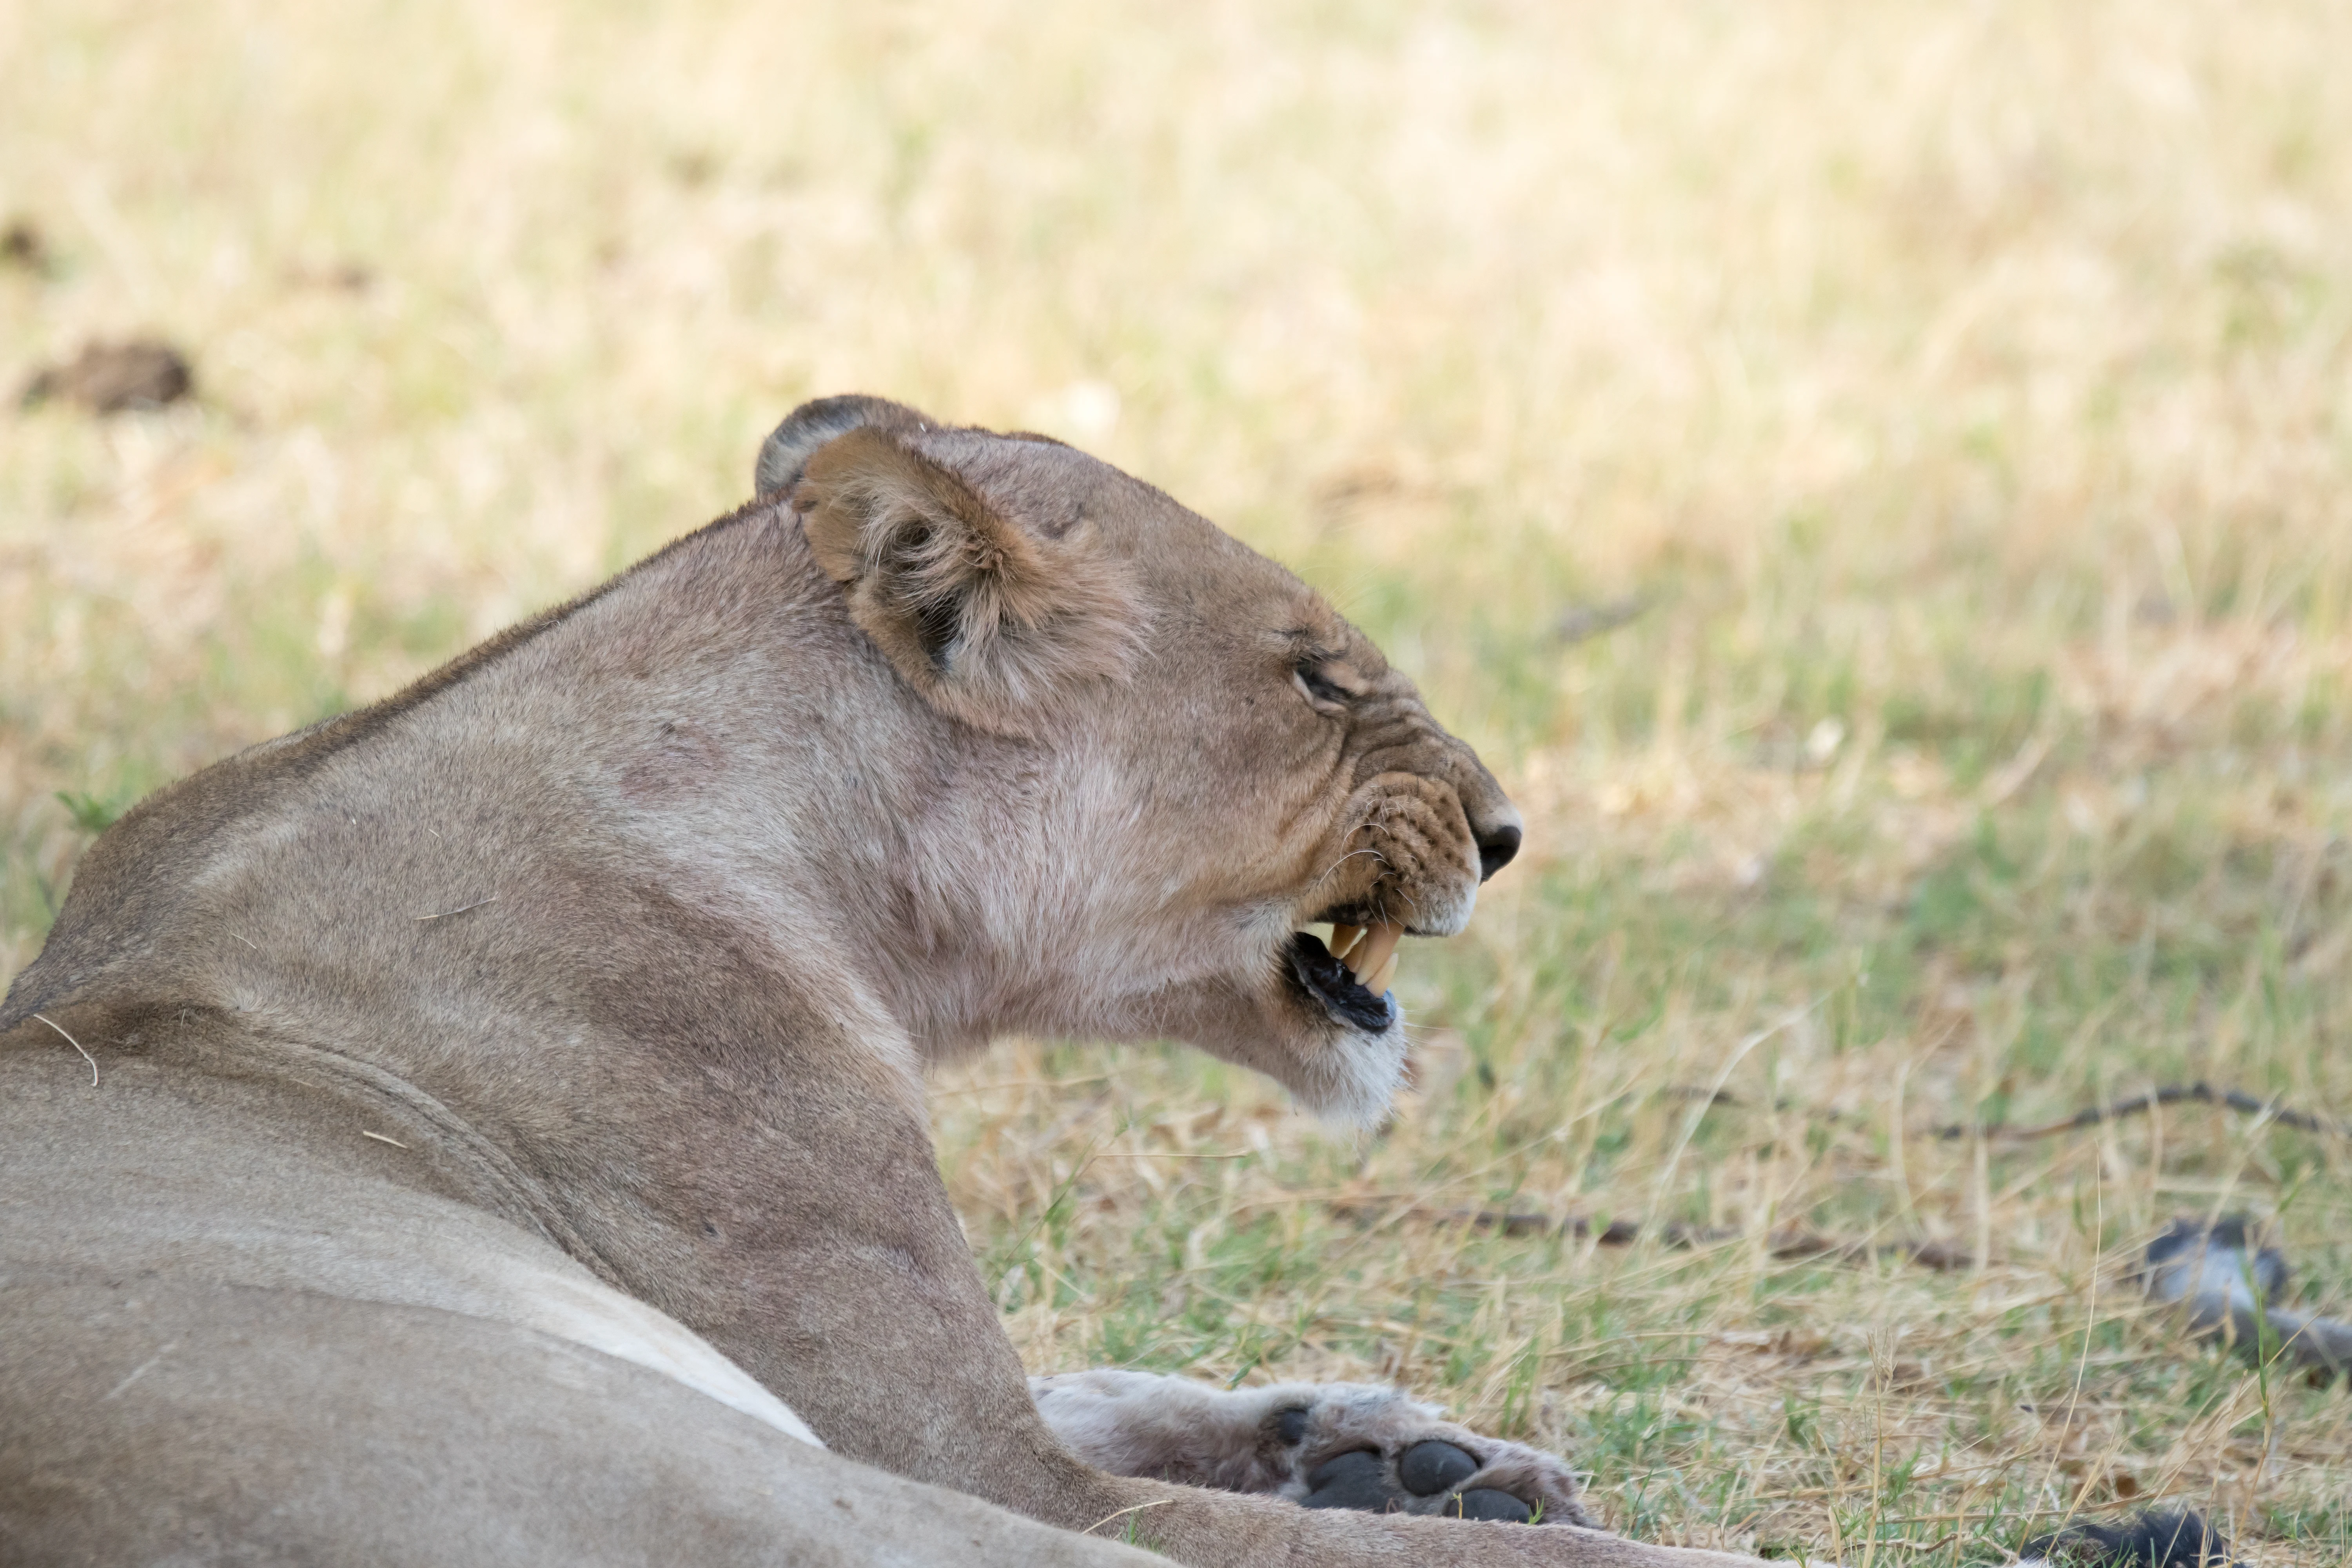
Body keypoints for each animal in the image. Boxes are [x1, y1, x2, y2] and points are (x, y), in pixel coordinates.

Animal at [1, 396, 1787, 1567]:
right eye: (1319, 678)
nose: (1504, 831)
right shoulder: (966, 1459)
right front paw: (1438, 1497)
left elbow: (1098, 1374)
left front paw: (1402, 1449)